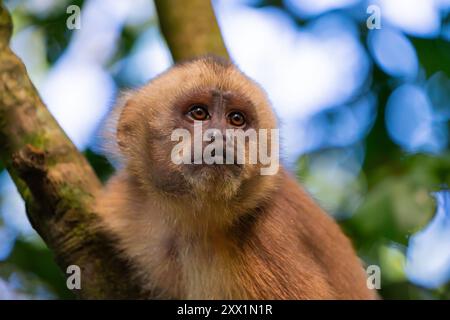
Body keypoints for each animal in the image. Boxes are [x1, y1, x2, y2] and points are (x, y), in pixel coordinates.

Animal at [96, 55, 378, 300]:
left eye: (236, 119)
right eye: (198, 113)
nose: (221, 137)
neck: (189, 219)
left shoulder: (263, 239)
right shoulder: (122, 207)